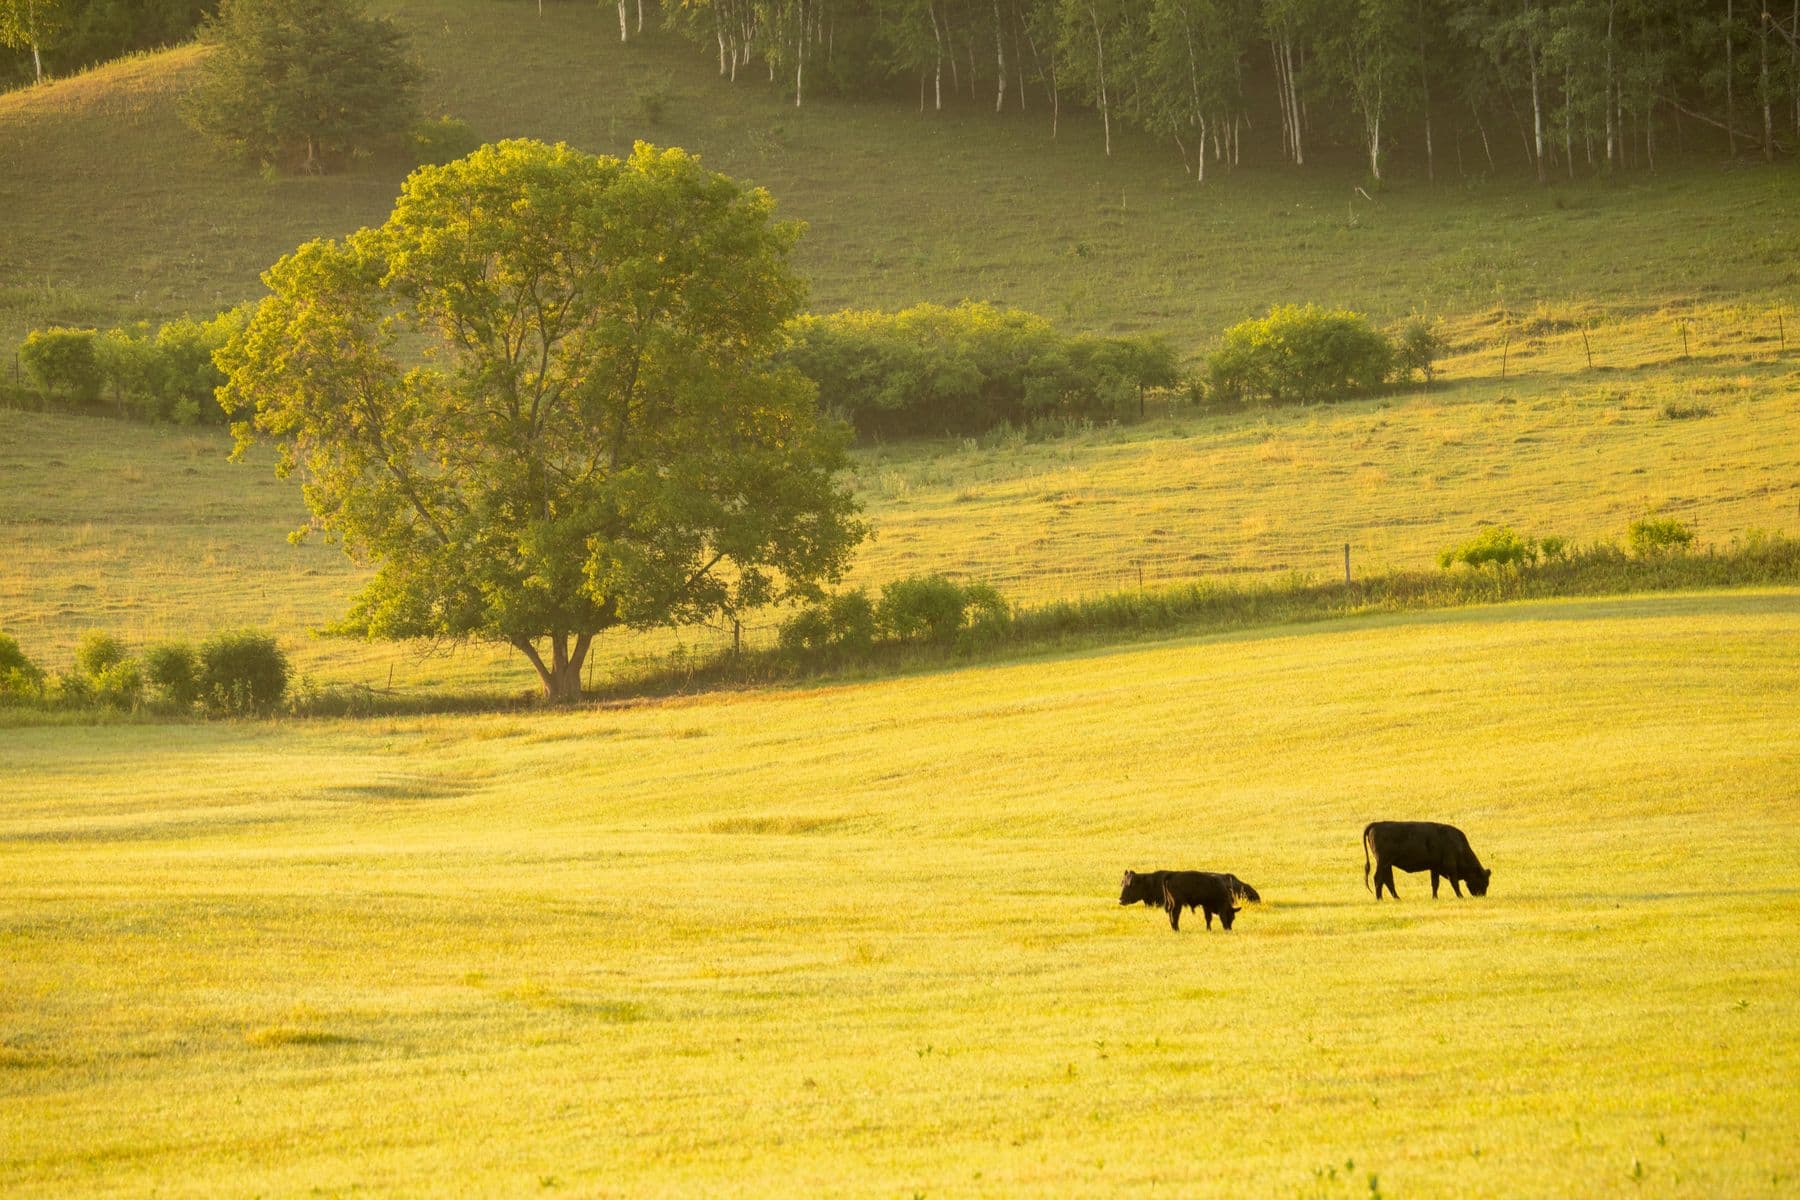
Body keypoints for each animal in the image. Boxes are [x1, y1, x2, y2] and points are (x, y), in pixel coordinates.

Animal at [1118, 869, 1258, 931]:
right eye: (1123, 883)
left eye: (1130, 884)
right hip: (1176, 904)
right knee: (1174, 914)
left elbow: (1208, 918)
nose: (1120, 900)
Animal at [1362, 821, 1491, 900]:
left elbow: (1435, 883)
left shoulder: (1434, 867)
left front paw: (1435, 898)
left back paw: (1397, 898)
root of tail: (1376, 824)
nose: (1481, 895)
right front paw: (1460, 896)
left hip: (1387, 864)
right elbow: (1454, 883)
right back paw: (1380, 899)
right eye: (1484, 881)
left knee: (1388, 880)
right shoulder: (1450, 867)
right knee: (1378, 878)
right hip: (1383, 862)